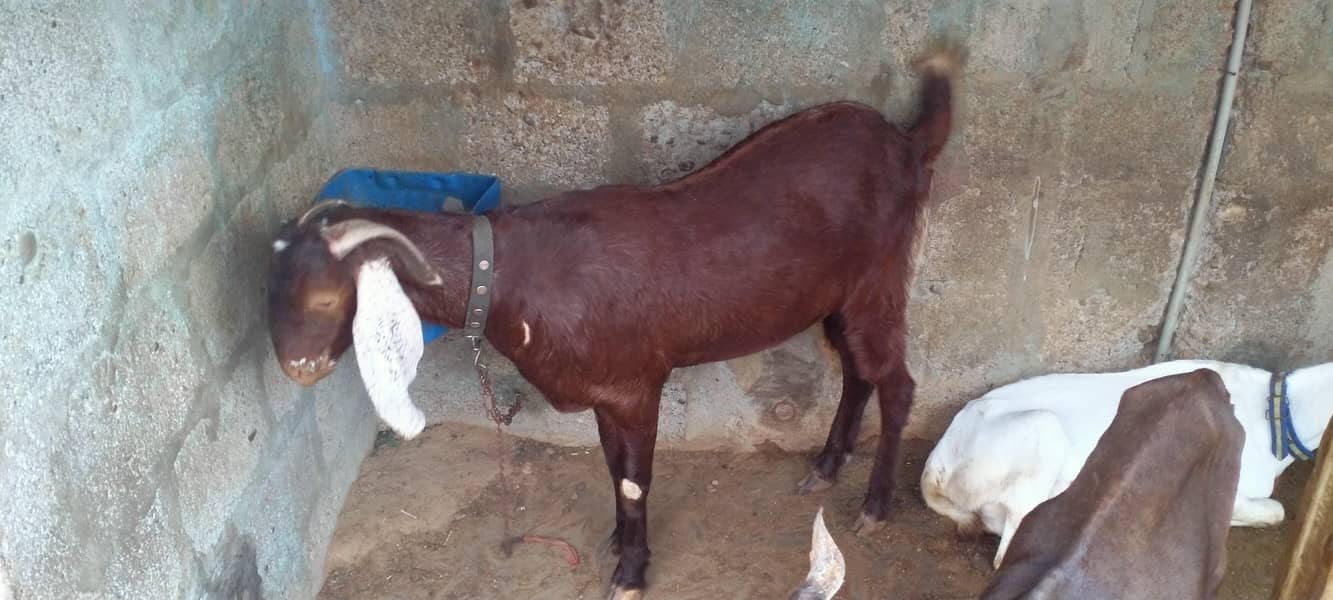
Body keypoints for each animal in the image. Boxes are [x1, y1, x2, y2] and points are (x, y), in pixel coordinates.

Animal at [265, 41, 966, 598]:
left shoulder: (635, 386)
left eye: (326, 298)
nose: (295, 369)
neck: (514, 273)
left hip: (880, 278)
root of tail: (907, 142)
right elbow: (611, 472)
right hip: (837, 299)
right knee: (857, 371)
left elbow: (634, 481)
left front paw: (630, 574)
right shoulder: (604, 390)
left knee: (896, 382)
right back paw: (824, 467)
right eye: (269, 290)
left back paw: (875, 505)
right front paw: (619, 545)